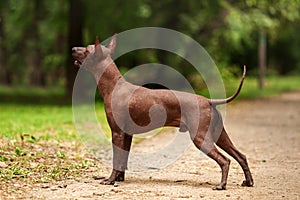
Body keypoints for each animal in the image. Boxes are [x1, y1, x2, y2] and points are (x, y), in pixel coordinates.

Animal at [72, 35, 253, 190]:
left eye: (87, 50)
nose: (73, 48)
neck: (113, 86)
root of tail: (208, 101)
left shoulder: (116, 132)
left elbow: (116, 159)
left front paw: (110, 180)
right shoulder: (127, 134)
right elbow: (123, 158)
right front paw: (119, 178)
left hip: (200, 138)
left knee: (225, 160)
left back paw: (221, 185)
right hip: (220, 135)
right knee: (241, 156)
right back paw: (248, 181)